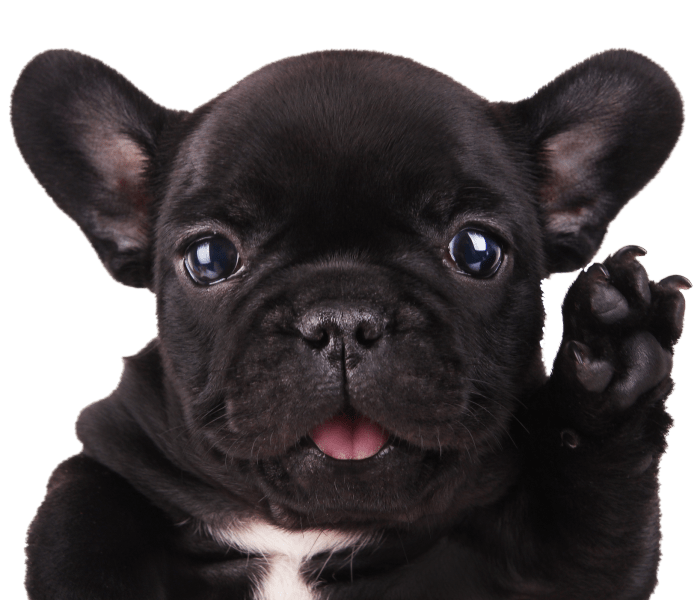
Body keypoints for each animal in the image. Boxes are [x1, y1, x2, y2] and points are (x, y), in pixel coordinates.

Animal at [9, 48, 684, 600]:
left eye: (476, 251)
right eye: (210, 259)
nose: (341, 320)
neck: (306, 533)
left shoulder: (559, 568)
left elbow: (593, 506)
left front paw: (613, 352)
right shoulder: (117, 447)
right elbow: (79, 508)